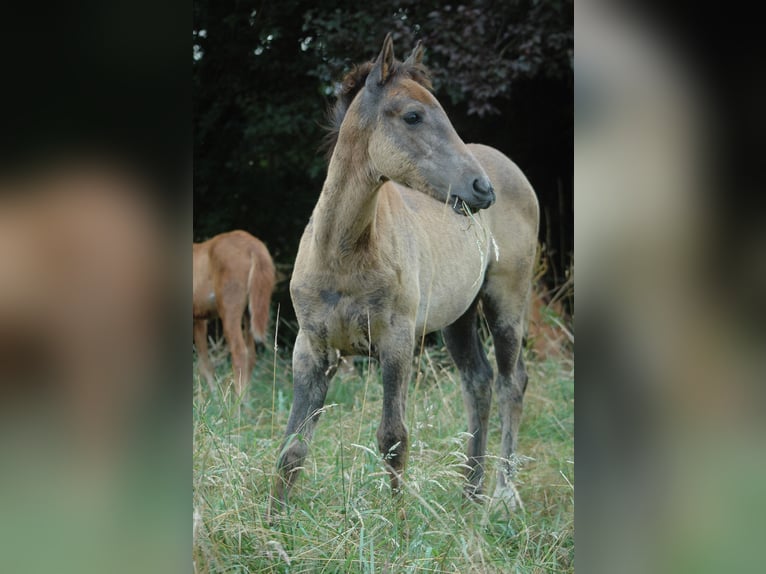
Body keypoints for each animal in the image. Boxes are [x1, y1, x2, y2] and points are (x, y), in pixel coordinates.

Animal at [192, 230, 276, 396]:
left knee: (239, 351)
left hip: (229, 306)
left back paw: (238, 400)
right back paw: (246, 399)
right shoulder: (199, 317)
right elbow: (204, 362)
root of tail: (255, 247)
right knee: (251, 353)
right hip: (250, 312)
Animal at [270, 33, 540, 516]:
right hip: (459, 316)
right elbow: (292, 447)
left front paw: (397, 521)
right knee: (479, 381)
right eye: (413, 116)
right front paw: (272, 523)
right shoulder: (312, 348)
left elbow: (393, 438)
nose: (482, 189)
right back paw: (470, 491)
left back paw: (504, 495)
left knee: (512, 383)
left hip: (507, 300)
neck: (341, 253)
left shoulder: (396, 342)